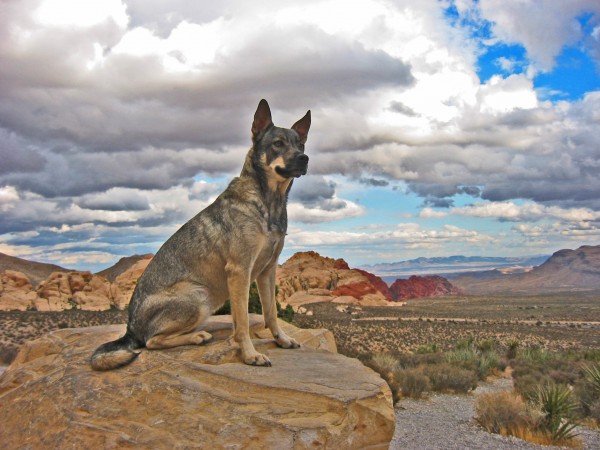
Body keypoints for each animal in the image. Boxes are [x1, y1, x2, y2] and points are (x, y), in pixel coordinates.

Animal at [92, 98, 314, 370]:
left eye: (300, 143)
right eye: (278, 143)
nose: (304, 158)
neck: (269, 202)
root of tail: (130, 329)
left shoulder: (267, 270)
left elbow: (270, 313)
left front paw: (281, 339)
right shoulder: (240, 270)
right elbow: (242, 323)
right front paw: (249, 355)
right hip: (199, 296)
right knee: (151, 341)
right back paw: (197, 336)